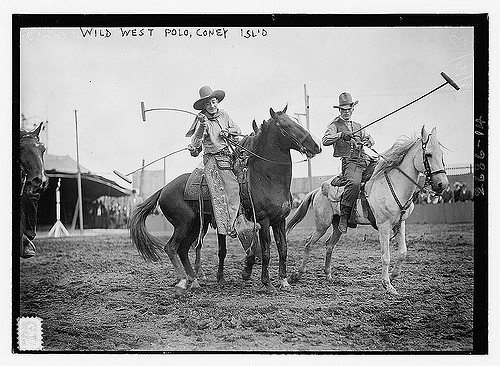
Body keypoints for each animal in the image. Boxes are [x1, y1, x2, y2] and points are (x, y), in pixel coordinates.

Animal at [129, 106, 320, 292]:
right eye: (285, 125)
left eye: (296, 121)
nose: (316, 145)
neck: (265, 178)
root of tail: (163, 189)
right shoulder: (263, 221)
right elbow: (265, 251)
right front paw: (267, 283)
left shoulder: (279, 220)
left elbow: (283, 249)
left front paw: (283, 280)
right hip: (184, 223)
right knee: (171, 247)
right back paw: (184, 280)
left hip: (196, 224)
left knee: (183, 249)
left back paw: (194, 279)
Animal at [286, 126, 450, 294]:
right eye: (428, 154)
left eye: (441, 155)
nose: (442, 184)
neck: (394, 184)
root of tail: (318, 190)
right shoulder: (384, 225)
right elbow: (386, 256)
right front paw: (387, 285)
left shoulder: (400, 224)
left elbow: (403, 253)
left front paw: (392, 276)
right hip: (322, 224)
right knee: (308, 244)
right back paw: (296, 275)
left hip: (337, 225)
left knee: (329, 245)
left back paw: (328, 275)